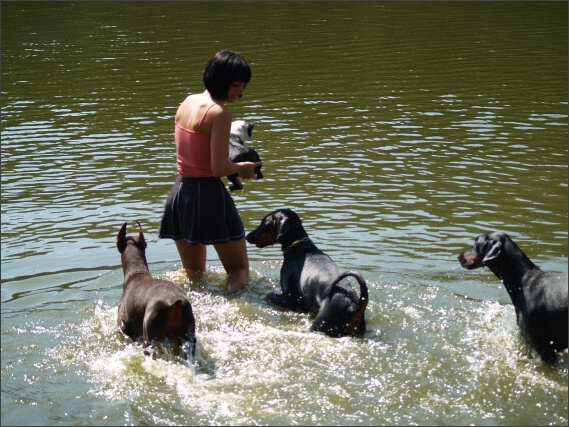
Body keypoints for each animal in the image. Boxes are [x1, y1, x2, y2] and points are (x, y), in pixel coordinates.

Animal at [246, 209, 366, 340]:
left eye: (264, 223)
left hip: (321, 324)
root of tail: (356, 306)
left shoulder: (290, 298)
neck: (298, 246)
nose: (247, 236)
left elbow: (269, 296)